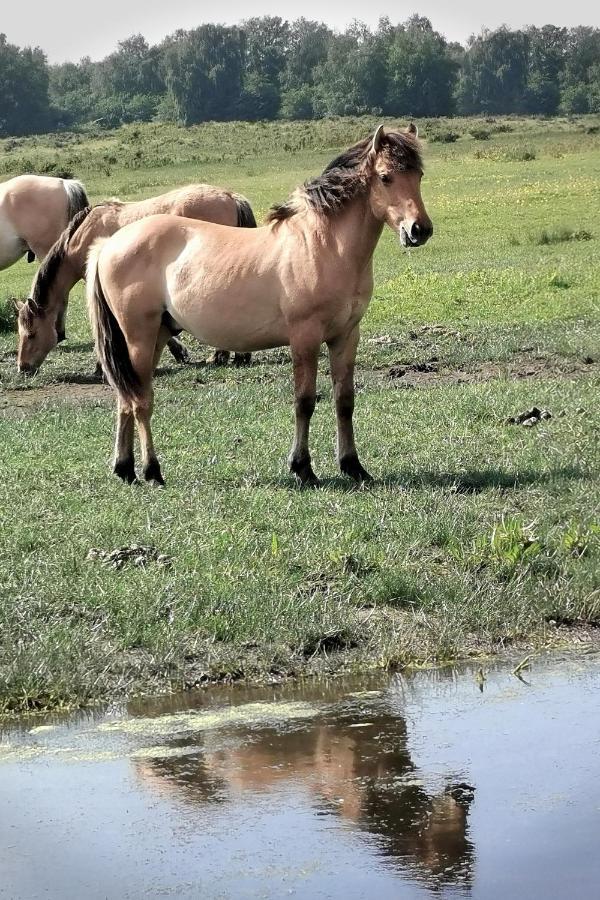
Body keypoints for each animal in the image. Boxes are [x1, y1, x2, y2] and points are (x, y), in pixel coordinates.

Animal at [85, 124, 432, 488]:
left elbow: (344, 401)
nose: (419, 230)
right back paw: (152, 471)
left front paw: (353, 466)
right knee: (140, 402)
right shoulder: (305, 338)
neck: (323, 245)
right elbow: (304, 401)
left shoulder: (346, 336)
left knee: (126, 397)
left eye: (419, 175)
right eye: (386, 177)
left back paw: (124, 469)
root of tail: (109, 243)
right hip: (139, 336)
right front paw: (303, 468)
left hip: (158, 336)